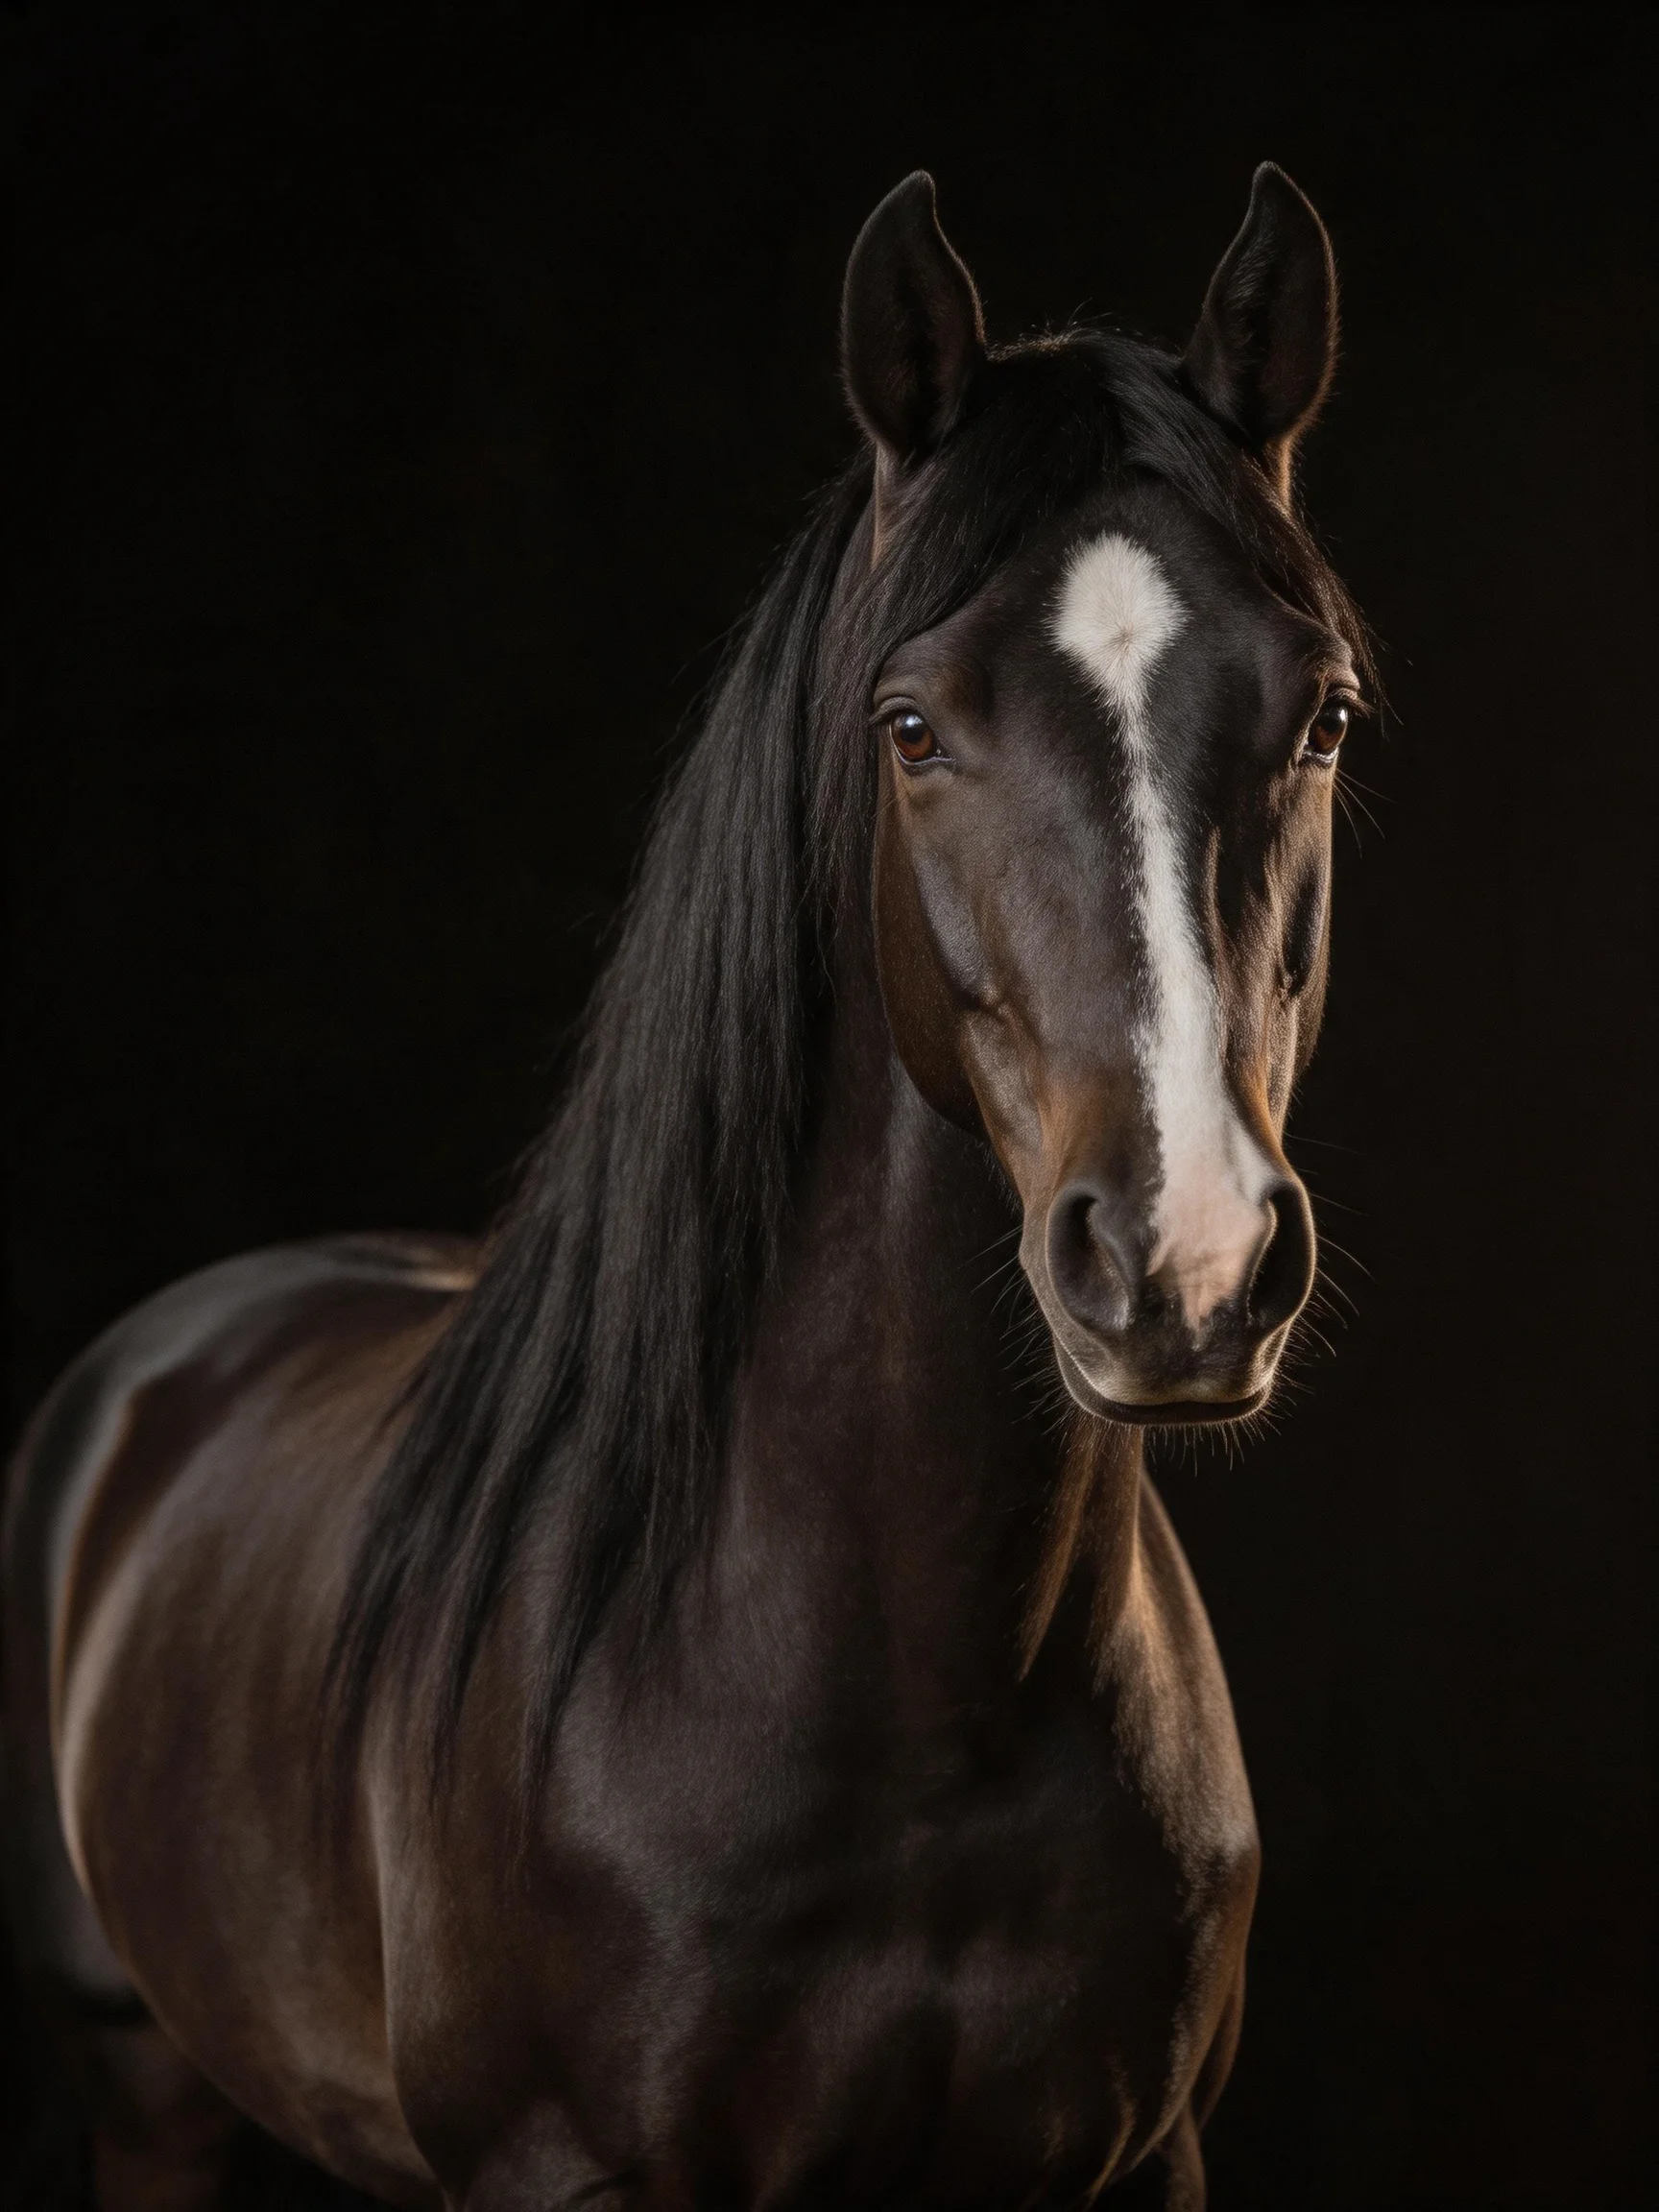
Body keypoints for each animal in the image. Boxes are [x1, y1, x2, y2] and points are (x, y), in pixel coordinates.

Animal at [3, 165, 1367, 2210]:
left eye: (1322, 715)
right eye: (909, 726)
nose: (1182, 1256)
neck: (919, 1705)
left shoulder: (1137, 2157)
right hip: (143, 2092)